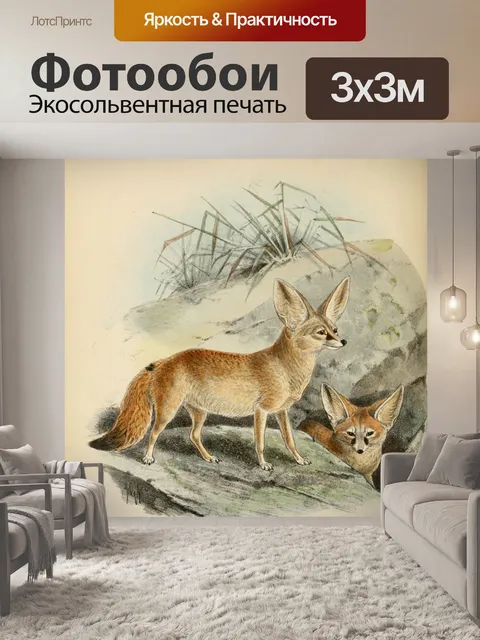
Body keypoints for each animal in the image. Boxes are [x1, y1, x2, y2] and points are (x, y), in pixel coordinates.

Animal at [89, 276, 350, 471]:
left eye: (335, 329)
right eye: (321, 332)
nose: (344, 341)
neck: (285, 368)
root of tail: (164, 361)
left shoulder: (281, 411)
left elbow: (289, 439)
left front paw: (299, 460)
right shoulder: (262, 411)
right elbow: (260, 442)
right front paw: (263, 465)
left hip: (200, 412)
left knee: (193, 436)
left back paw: (208, 457)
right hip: (167, 412)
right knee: (153, 434)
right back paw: (148, 458)